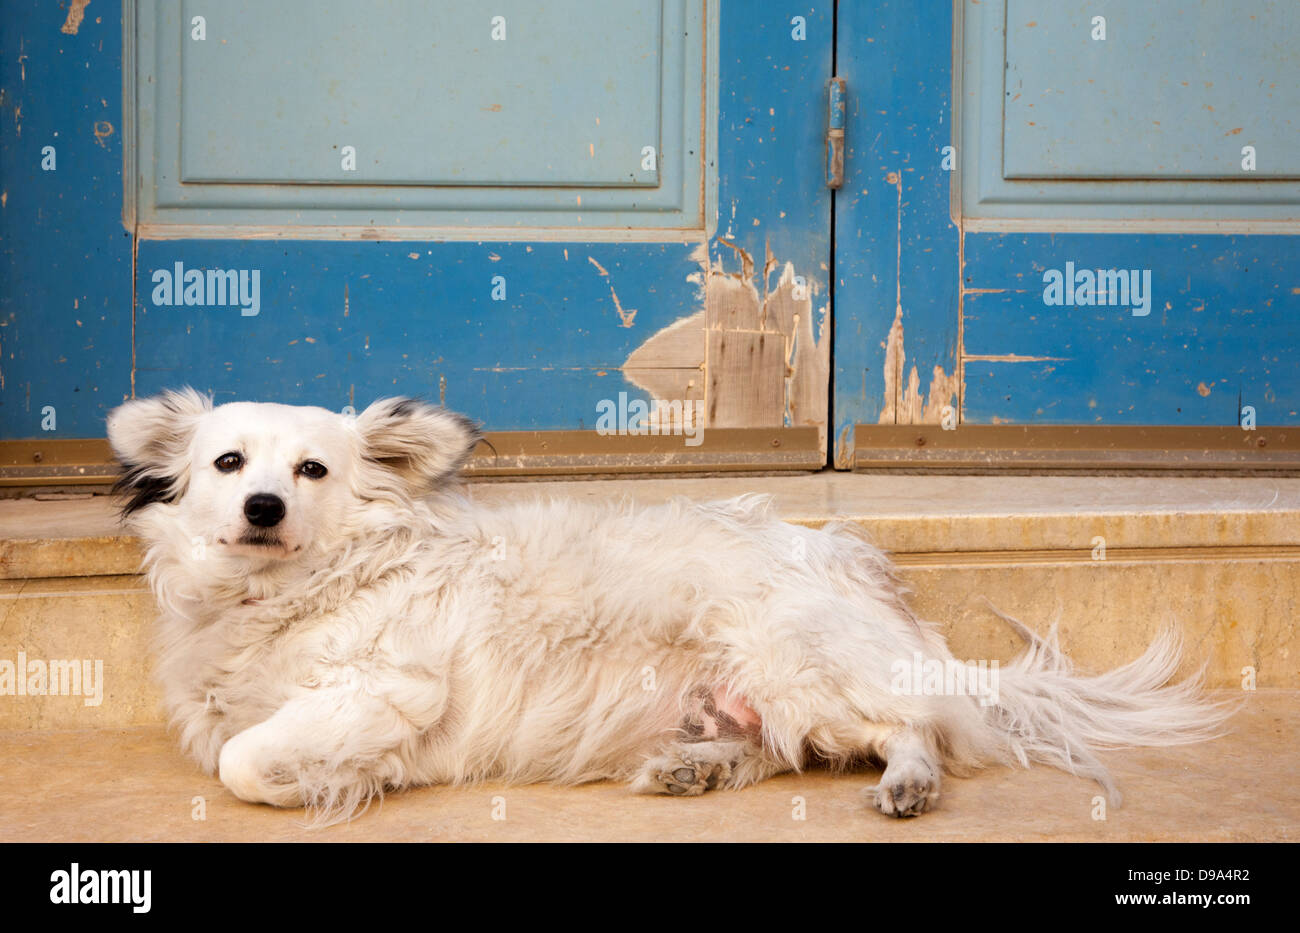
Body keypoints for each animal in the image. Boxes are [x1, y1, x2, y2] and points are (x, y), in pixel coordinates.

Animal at [109, 389, 1227, 821]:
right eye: (228, 463)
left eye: (311, 470)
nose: (261, 507)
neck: (279, 594)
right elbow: (236, 743)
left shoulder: (391, 688)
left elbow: (244, 759)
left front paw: (328, 779)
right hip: (758, 696)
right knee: (784, 752)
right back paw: (696, 768)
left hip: (797, 666)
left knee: (916, 729)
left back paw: (907, 784)